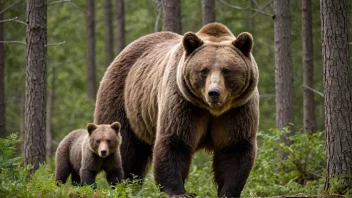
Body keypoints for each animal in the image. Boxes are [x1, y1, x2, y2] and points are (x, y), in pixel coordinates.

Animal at [93, 22, 258, 197]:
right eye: (203, 70)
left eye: (227, 70)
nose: (214, 93)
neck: (212, 110)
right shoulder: (183, 103)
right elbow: (175, 141)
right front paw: (179, 191)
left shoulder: (237, 110)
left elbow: (234, 148)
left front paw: (228, 192)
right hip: (122, 101)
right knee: (125, 147)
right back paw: (123, 186)